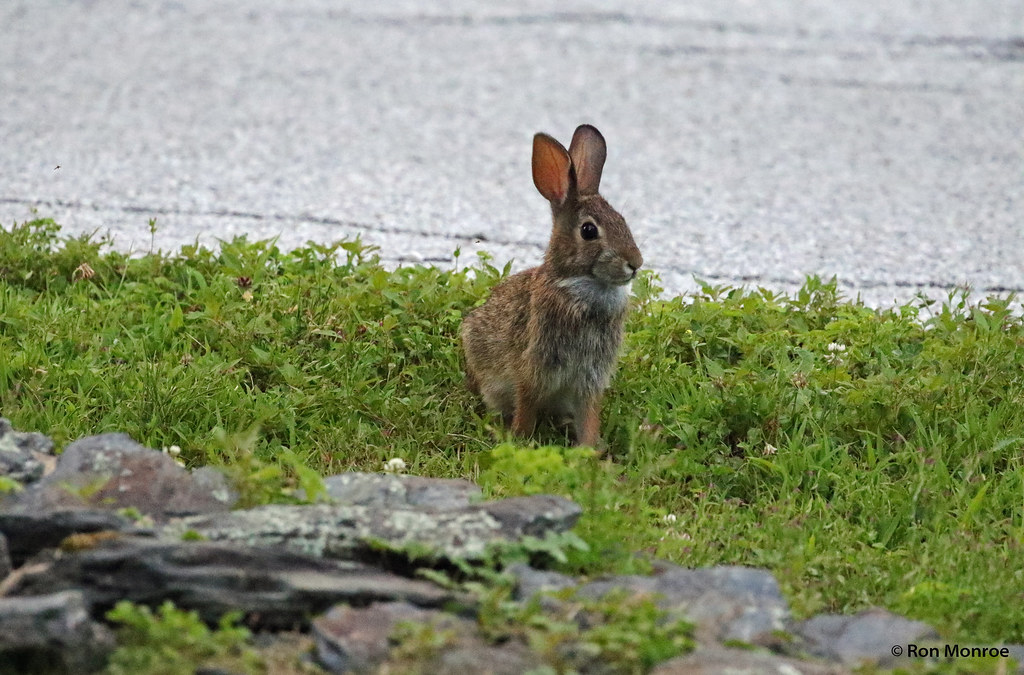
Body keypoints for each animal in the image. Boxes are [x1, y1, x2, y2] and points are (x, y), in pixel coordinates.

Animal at [460, 124, 643, 448]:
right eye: (588, 230)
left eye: (623, 221)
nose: (636, 263)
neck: (582, 285)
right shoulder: (533, 366)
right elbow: (526, 402)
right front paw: (519, 439)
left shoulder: (590, 377)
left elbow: (588, 413)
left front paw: (589, 449)